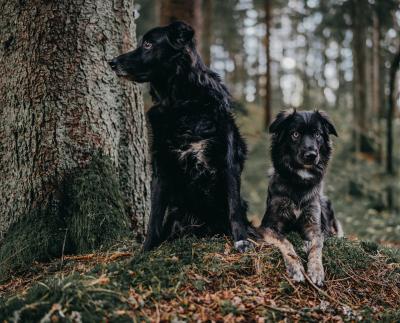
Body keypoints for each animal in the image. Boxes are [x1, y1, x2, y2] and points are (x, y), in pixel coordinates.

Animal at [108, 20, 253, 253]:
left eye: (148, 44)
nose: (111, 62)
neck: (181, 104)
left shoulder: (227, 161)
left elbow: (234, 209)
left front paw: (241, 240)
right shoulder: (161, 165)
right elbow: (154, 215)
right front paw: (146, 249)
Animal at [260, 109, 344, 286]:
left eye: (317, 134)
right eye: (295, 134)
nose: (311, 155)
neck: (299, 182)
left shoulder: (314, 226)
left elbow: (317, 246)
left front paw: (316, 270)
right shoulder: (268, 226)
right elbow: (285, 242)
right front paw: (296, 268)